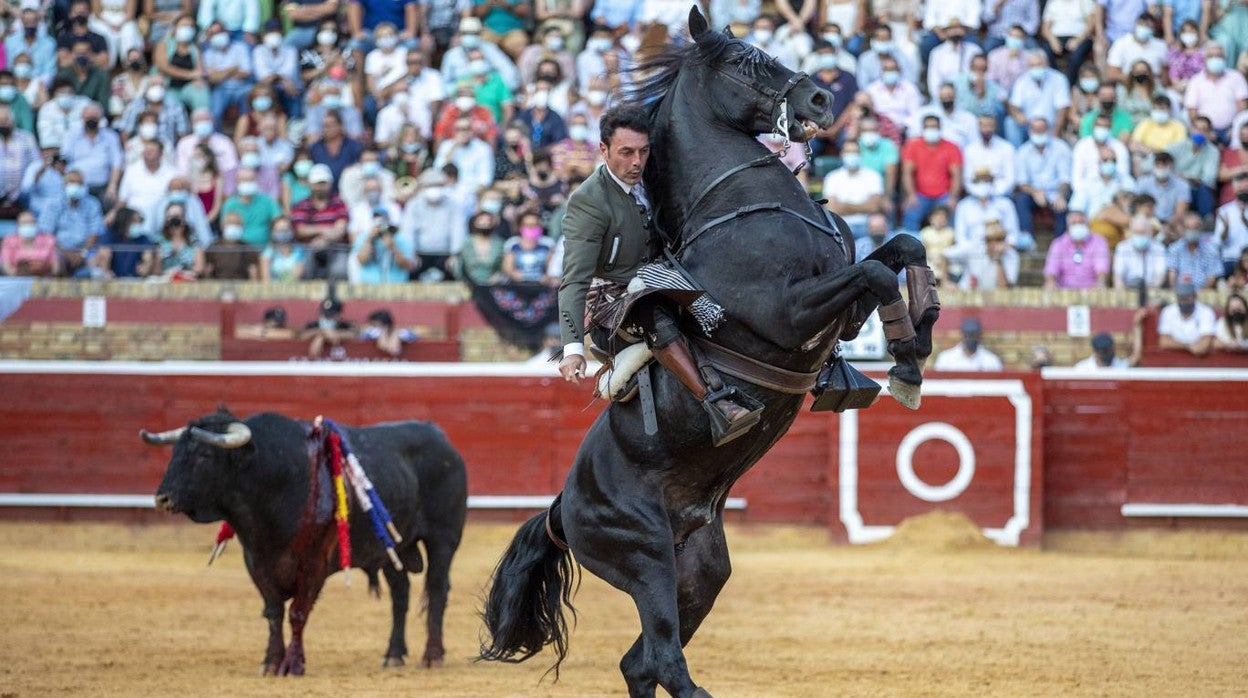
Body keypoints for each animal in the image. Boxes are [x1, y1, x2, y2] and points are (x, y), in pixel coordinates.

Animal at [141, 412, 464, 674]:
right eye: (174, 453)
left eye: (204, 456)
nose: (162, 498)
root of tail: (442, 438)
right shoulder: (255, 561)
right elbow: (273, 612)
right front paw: (271, 663)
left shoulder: (314, 562)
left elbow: (298, 612)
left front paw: (294, 664)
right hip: (390, 548)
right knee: (401, 593)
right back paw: (393, 655)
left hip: (443, 539)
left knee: (437, 590)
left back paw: (432, 656)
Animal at [481, 8, 938, 694]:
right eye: (743, 64)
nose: (821, 98)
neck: (742, 202)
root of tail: (563, 508)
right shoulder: (787, 310)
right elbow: (879, 273)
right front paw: (906, 363)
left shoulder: (840, 301)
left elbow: (904, 247)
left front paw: (920, 335)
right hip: (645, 558)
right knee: (665, 658)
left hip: (703, 565)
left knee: (641, 661)